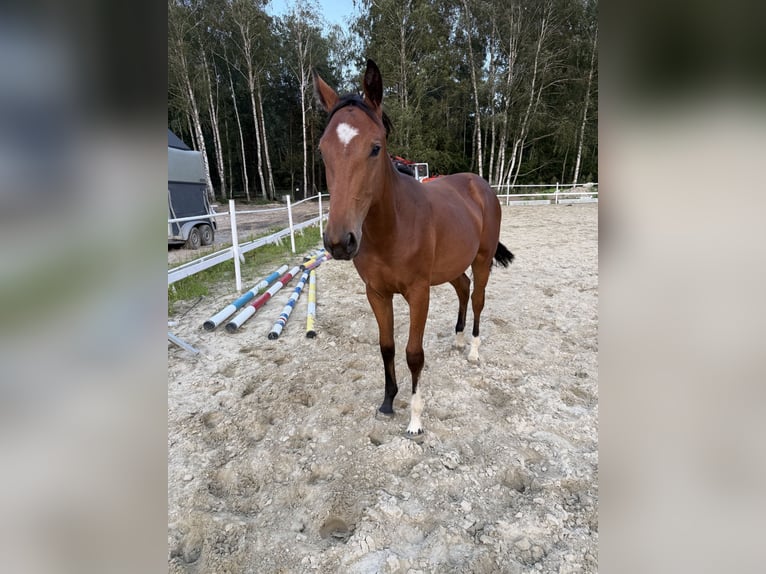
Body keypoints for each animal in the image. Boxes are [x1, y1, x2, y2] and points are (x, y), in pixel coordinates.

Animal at [313, 59, 514, 437]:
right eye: (322, 149)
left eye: (375, 147)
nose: (339, 241)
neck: (392, 228)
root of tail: (479, 184)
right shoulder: (376, 293)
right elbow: (387, 347)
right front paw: (388, 402)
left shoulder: (419, 293)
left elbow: (413, 353)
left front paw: (416, 419)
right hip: (451, 266)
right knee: (463, 288)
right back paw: (458, 340)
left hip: (481, 260)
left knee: (478, 298)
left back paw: (473, 351)